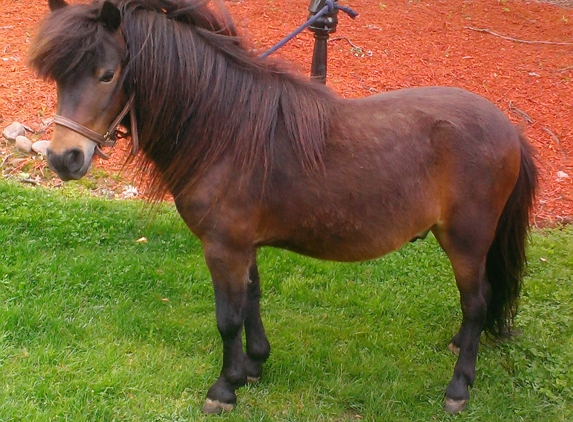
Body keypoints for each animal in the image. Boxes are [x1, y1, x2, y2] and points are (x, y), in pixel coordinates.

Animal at [29, 0, 536, 416]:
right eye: (57, 77)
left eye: (106, 74)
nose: (63, 158)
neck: (225, 130)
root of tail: (509, 129)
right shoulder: (243, 245)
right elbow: (251, 300)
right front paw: (254, 365)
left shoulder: (223, 247)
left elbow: (228, 317)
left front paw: (224, 387)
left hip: (466, 240)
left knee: (476, 303)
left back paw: (459, 388)